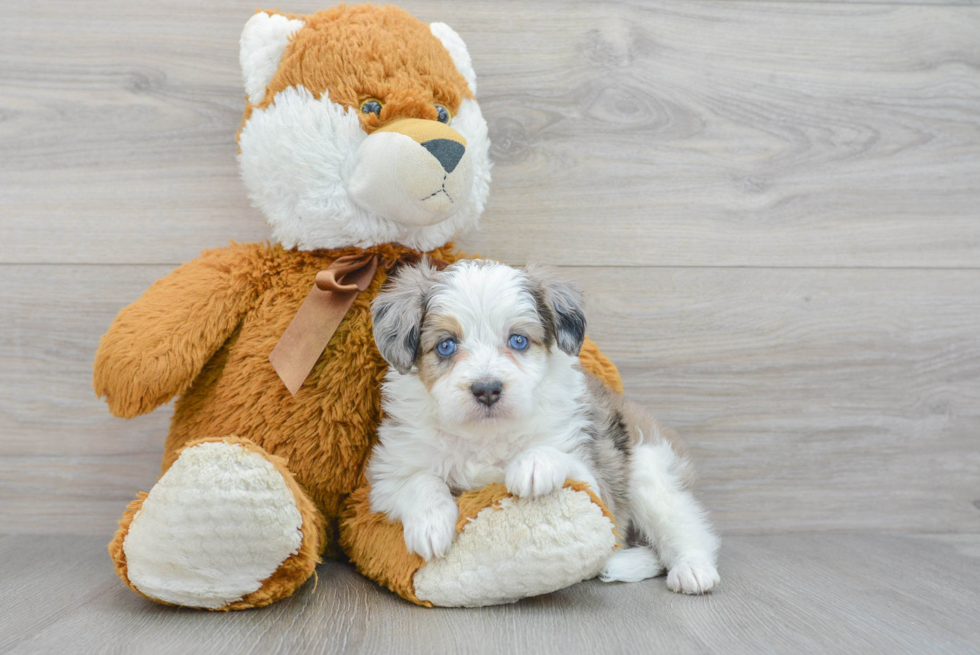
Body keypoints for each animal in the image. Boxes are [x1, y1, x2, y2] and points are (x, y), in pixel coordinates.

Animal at [368, 260, 720, 596]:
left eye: (518, 340)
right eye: (446, 346)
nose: (487, 389)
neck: (487, 434)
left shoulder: (595, 483)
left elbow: (558, 457)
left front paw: (534, 464)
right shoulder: (388, 476)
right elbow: (420, 481)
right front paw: (431, 524)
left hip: (650, 473)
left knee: (687, 529)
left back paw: (692, 569)